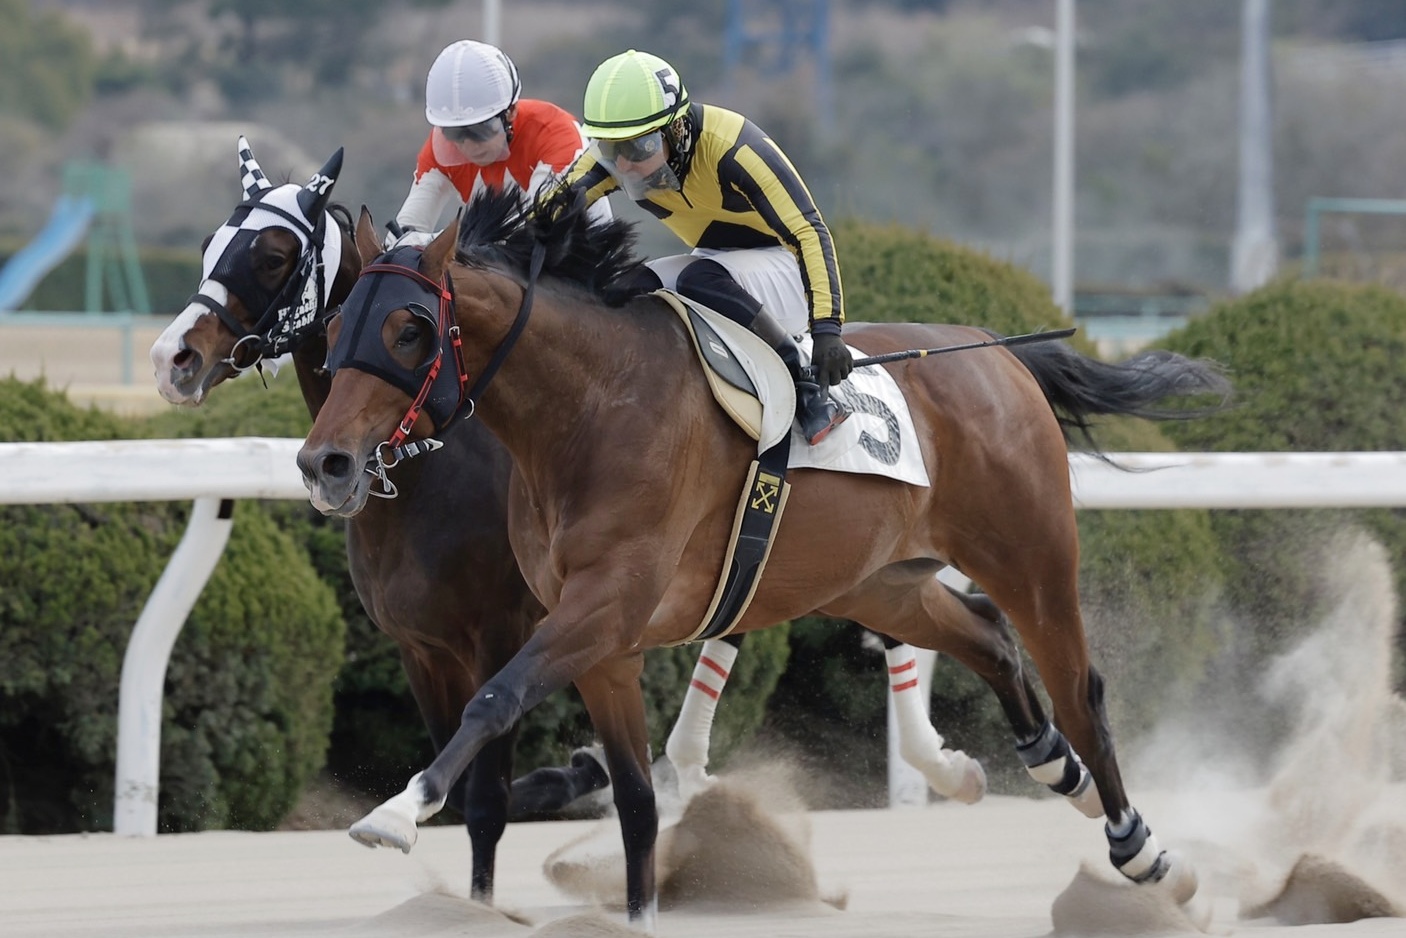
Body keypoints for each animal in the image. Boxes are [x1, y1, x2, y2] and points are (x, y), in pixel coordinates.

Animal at [296, 187, 1229, 928]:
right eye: (339, 323)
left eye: (411, 329)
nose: (324, 463)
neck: (593, 407)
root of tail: (997, 349)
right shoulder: (602, 639)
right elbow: (635, 800)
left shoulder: (601, 605)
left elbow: (494, 701)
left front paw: (399, 808)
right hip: (879, 584)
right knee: (990, 639)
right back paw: (1044, 767)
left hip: (1032, 555)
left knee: (1080, 689)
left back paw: (1144, 853)